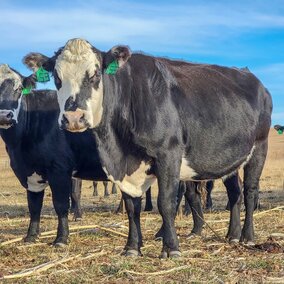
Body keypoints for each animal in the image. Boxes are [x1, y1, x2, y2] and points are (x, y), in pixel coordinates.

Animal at [23, 37, 272, 258]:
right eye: (57, 77)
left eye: (95, 74)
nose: (73, 118)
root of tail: (254, 79)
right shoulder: (126, 166)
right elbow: (132, 206)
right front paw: (132, 247)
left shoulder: (168, 154)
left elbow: (166, 203)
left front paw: (171, 248)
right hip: (231, 158)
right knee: (234, 193)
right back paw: (233, 235)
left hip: (259, 146)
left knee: (249, 191)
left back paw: (248, 237)